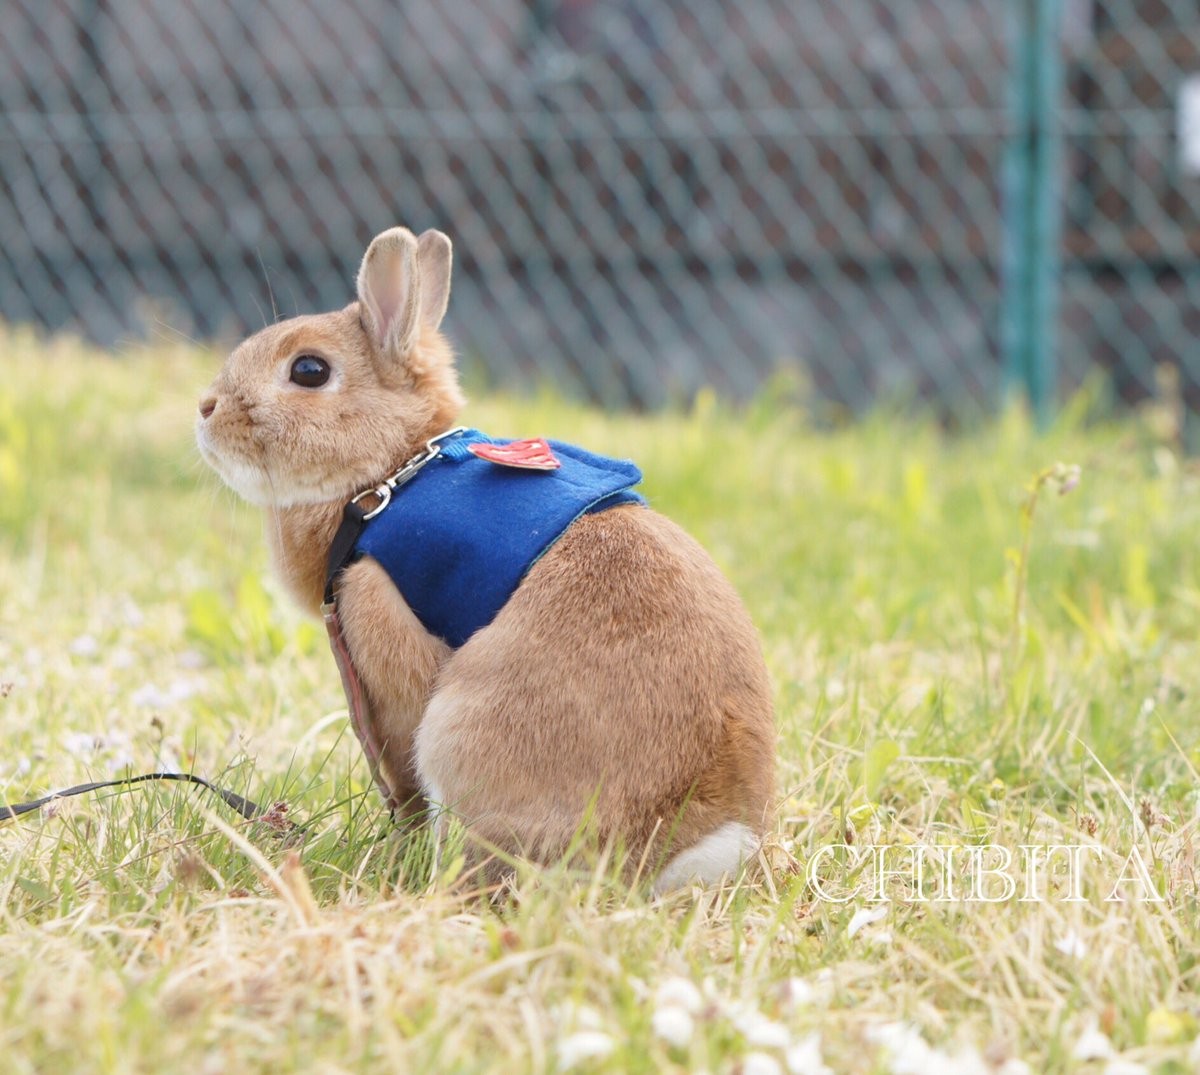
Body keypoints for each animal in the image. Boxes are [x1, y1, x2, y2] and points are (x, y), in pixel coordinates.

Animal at [194, 226, 777, 892]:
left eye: (309, 370)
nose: (206, 409)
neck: (390, 472)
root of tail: (681, 850)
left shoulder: (375, 618)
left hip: (459, 731)